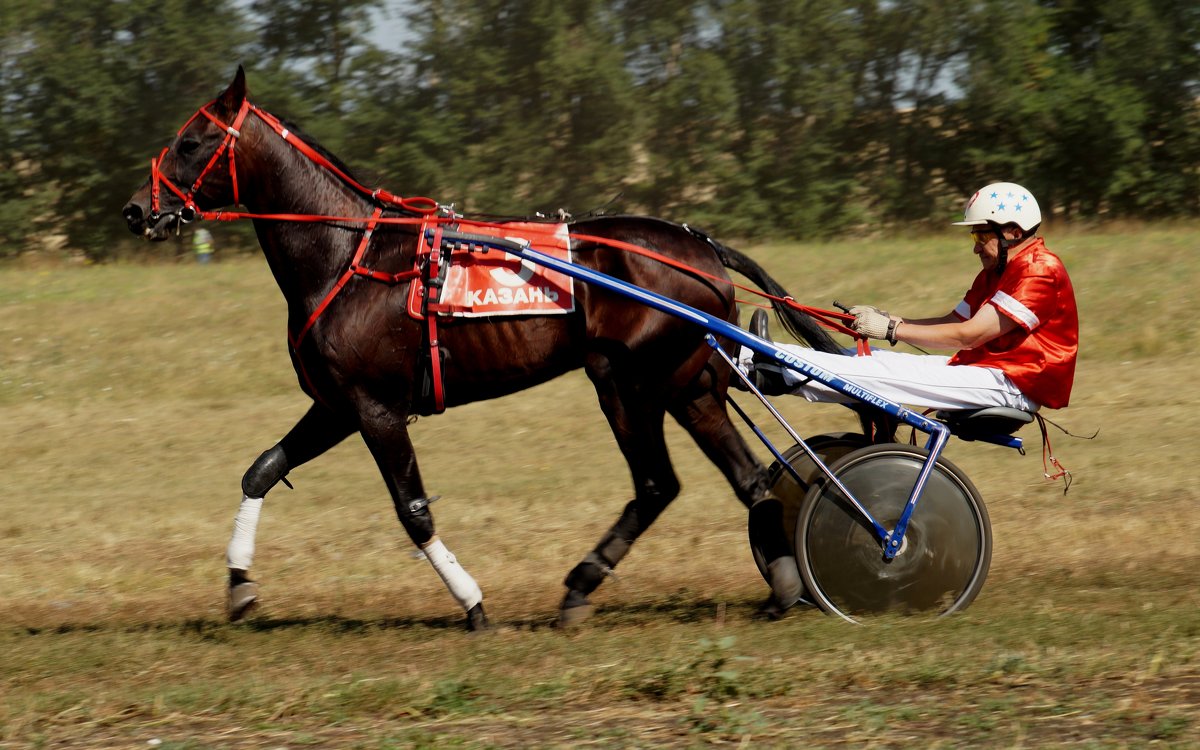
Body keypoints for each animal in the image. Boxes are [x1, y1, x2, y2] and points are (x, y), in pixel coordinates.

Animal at [119, 68, 835, 624]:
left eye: (191, 141)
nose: (136, 210)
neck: (350, 255)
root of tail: (703, 248)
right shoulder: (338, 404)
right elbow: (263, 469)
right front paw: (239, 586)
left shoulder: (375, 408)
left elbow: (413, 512)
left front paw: (471, 602)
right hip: (687, 385)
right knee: (740, 479)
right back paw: (779, 585)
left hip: (629, 381)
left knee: (661, 482)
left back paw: (587, 585)